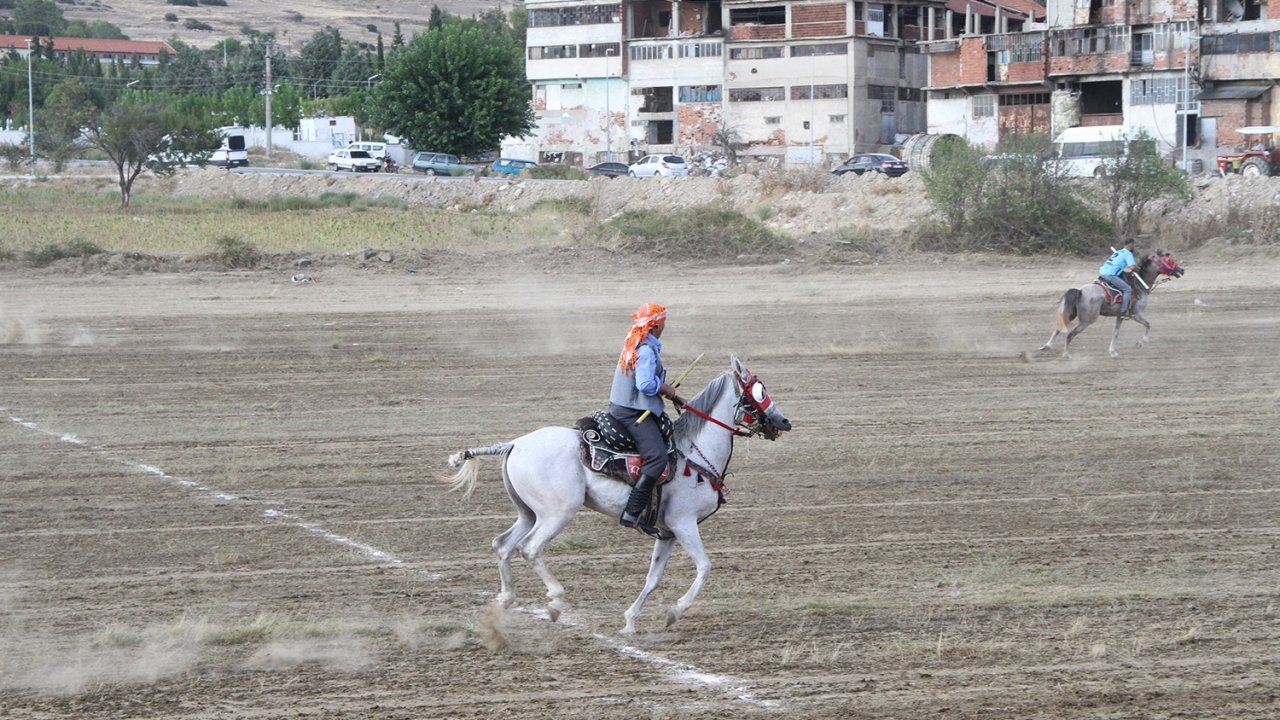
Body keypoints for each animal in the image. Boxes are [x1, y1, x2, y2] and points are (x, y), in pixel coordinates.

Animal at [450, 356, 788, 630]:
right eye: (759, 391)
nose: (784, 422)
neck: (693, 452)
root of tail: (515, 444)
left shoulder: (667, 533)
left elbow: (653, 578)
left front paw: (629, 621)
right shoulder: (684, 523)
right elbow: (705, 567)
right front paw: (675, 612)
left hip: (528, 513)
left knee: (503, 545)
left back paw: (506, 599)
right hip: (557, 513)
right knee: (529, 548)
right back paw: (555, 602)